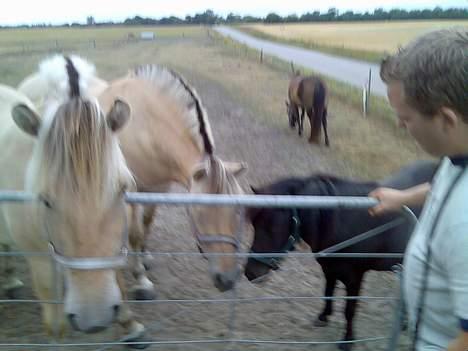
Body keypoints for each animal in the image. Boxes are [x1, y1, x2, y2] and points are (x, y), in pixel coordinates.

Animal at [0, 55, 145, 344]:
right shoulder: (40, 261)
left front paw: (129, 323)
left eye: (122, 190)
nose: (94, 318)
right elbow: (56, 324)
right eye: (44, 200)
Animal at [245, 161, 438, 350]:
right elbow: (328, 292)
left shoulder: (355, 277)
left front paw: (347, 340)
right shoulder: (329, 269)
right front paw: (323, 317)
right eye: (254, 223)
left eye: (272, 226)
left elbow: (349, 309)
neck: (341, 220)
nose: (250, 273)